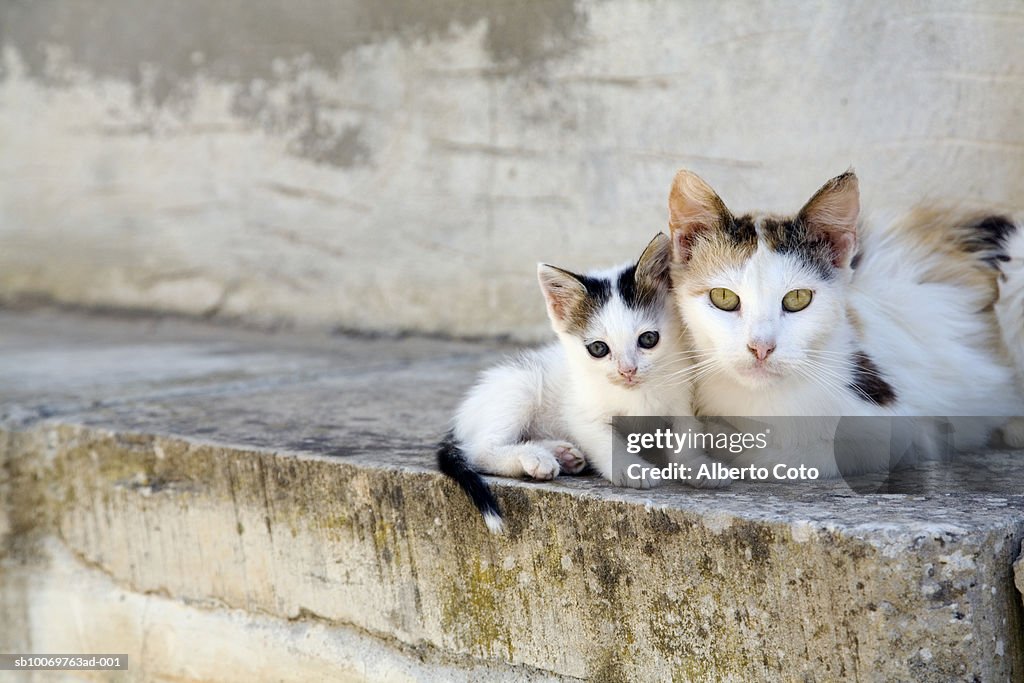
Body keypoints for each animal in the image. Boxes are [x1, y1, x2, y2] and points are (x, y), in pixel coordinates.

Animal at [440, 235, 720, 532]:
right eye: (598, 348)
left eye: (648, 339)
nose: (627, 371)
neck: (635, 393)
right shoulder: (580, 411)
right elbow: (604, 439)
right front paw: (630, 468)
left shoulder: (683, 396)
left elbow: (685, 434)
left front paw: (698, 466)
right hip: (519, 386)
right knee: (478, 451)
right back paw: (535, 458)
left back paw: (560, 454)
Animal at [663, 168, 1024, 479]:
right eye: (723, 297)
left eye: (798, 298)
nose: (761, 348)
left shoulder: (910, 431)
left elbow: (802, 454)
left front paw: (721, 441)